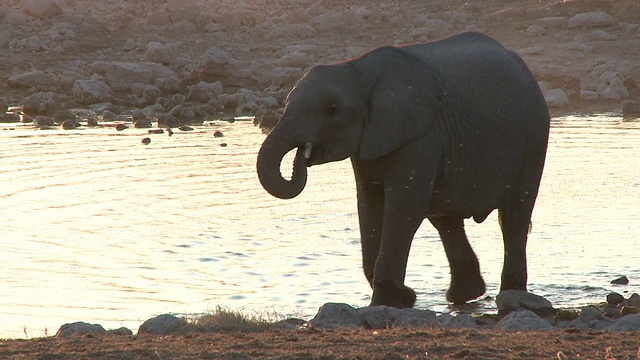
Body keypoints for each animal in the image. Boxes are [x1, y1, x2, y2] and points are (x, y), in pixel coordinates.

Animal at [255, 31, 552, 308]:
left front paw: (389, 301)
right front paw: (403, 298)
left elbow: (404, 207)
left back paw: (510, 294)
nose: (303, 154)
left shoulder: (421, 134)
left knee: (513, 216)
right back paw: (465, 296)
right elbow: (370, 205)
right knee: (444, 218)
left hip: (534, 134)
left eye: (331, 109)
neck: (358, 69)